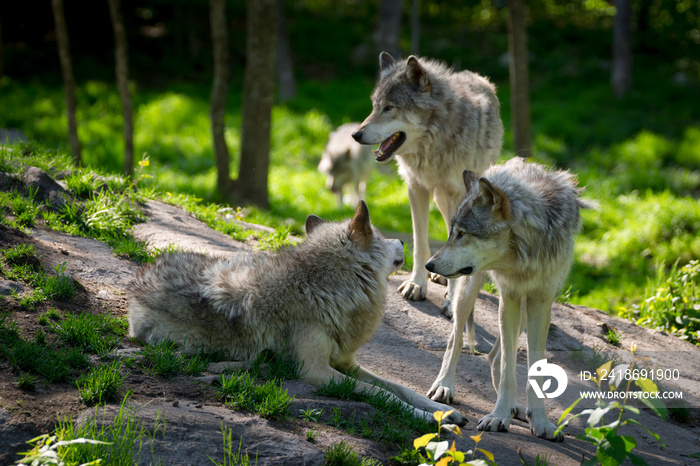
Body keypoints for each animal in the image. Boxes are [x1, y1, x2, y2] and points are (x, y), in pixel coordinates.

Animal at [129, 201, 468, 426]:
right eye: (382, 236)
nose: (401, 240)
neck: (324, 287)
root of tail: (140, 276)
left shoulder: (346, 362)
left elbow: (401, 388)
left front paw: (446, 411)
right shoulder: (317, 371)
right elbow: (383, 394)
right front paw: (432, 419)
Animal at [422, 159, 596, 440]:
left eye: (462, 234)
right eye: (452, 233)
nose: (429, 265)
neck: (525, 251)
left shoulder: (540, 301)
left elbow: (531, 367)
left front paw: (541, 422)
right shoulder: (510, 295)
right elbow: (507, 369)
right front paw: (498, 417)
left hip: (524, 311)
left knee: (494, 356)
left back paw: (516, 407)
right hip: (469, 292)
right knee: (456, 340)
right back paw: (444, 386)